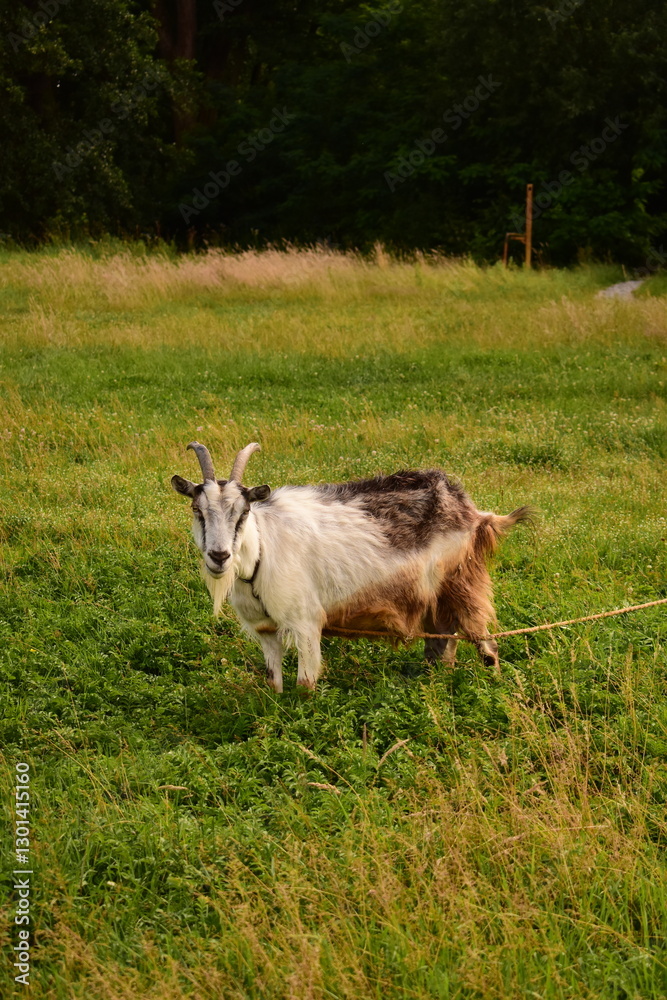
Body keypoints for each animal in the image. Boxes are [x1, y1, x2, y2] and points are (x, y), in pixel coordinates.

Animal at [172, 441, 531, 691]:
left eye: (244, 512)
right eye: (197, 510)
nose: (219, 556)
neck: (261, 550)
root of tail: (474, 512)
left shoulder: (305, 622)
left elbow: (304, 686)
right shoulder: (266, 631)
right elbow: (275, 684)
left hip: (464, 584)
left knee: (486, 646)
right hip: (435, 601)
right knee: (442, 643)